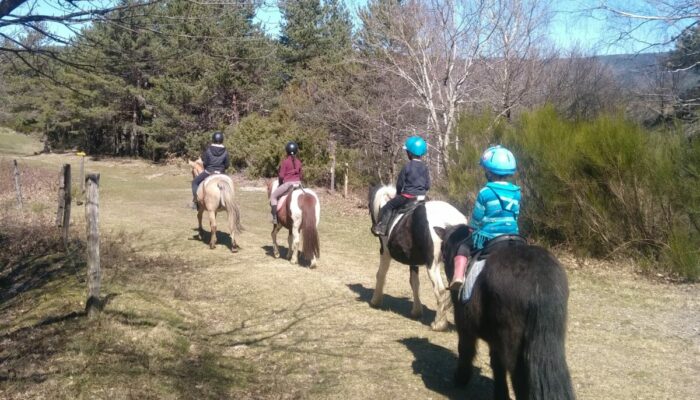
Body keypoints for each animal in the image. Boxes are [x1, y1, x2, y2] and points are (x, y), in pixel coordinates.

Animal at [370, 184, 468, 332]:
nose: (374, 228)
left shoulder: (385, 252)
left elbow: (381, 274)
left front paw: (375, 301)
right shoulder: (413, 260)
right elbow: (414, 282)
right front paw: (416, 311)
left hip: (433, 265)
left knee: (440, 290)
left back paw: (439, 324)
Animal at [434, 225, 576, 400]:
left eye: (443, 247)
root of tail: (539, 280)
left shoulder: (465, 326)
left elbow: (466, 350)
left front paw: (461, 379)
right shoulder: (495, 339)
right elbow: (497, 364)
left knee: (518, 375)